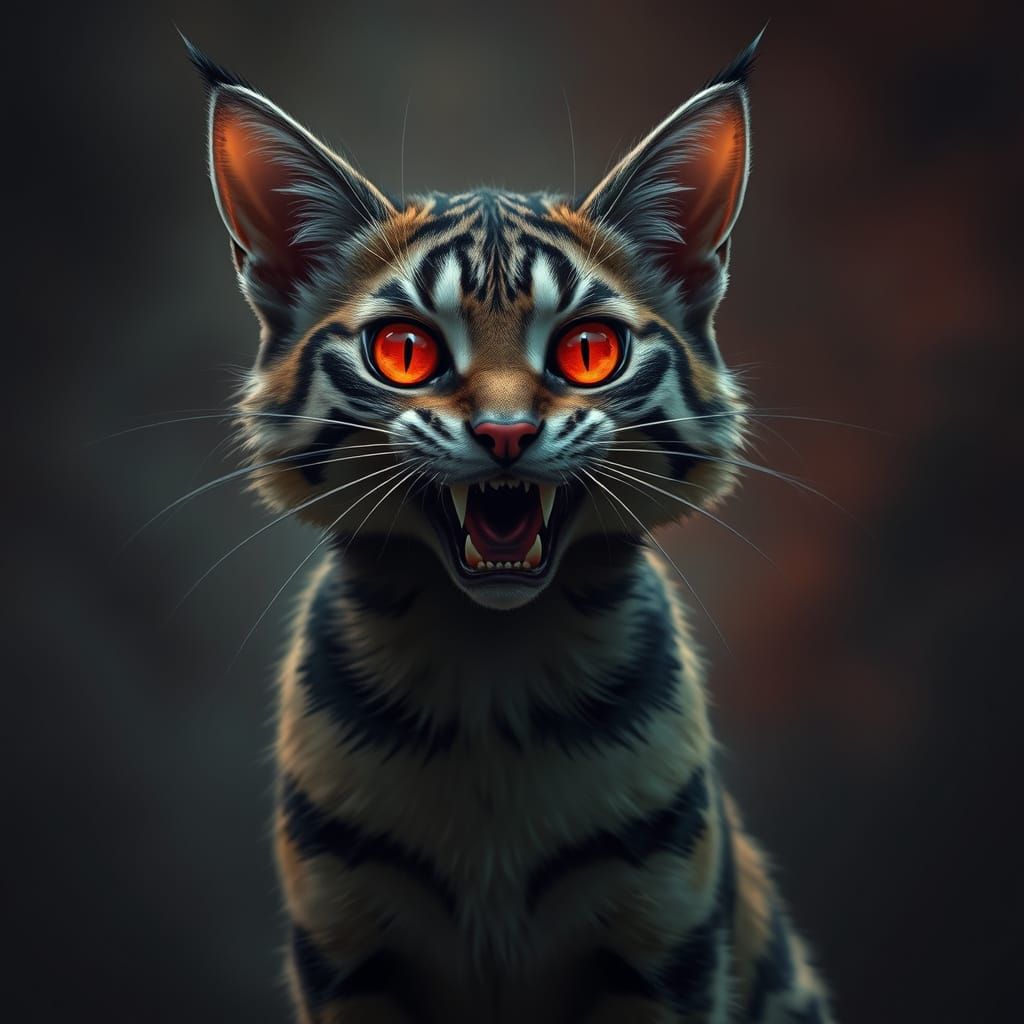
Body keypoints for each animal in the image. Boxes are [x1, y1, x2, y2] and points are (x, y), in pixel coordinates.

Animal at [184, 28, 833, 1024]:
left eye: (590, 351)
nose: (503, 434)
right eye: (404, 352)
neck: (490, 674)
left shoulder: (664, 948)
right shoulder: (348, 951)